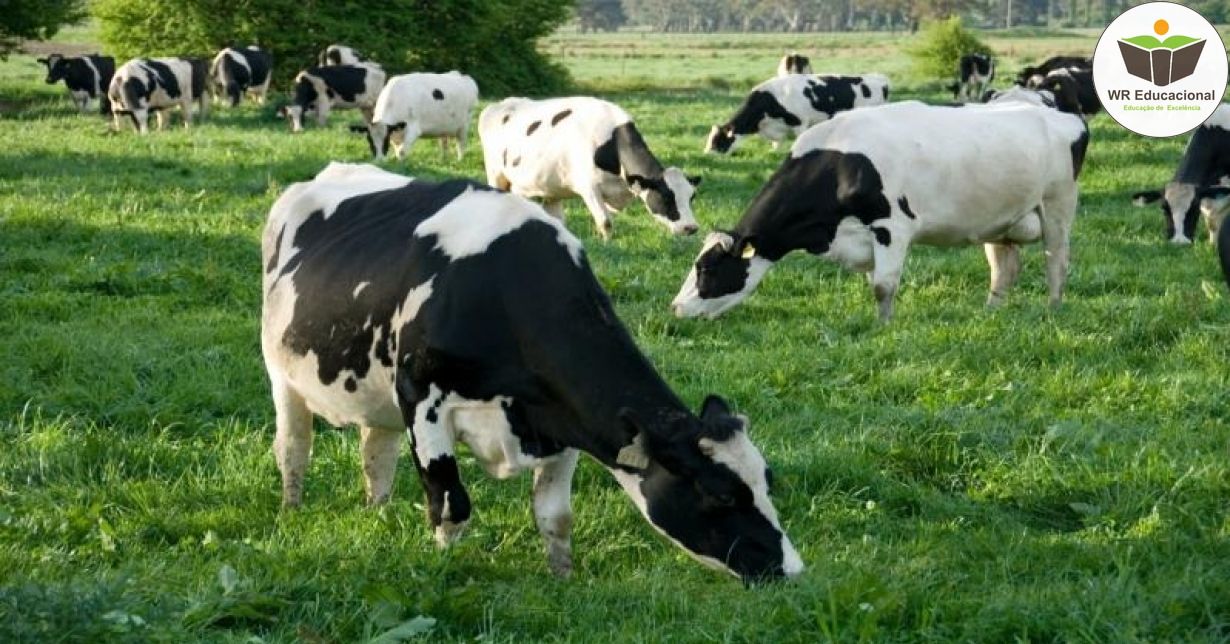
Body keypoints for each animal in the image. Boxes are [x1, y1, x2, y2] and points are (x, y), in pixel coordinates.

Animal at [263, 162, 801, 582]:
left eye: (766, 481)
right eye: (719, 496)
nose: (791, 570)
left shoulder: (563, 421)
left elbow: (554, 515)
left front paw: (562, 577)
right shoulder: (421, 397)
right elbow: (451, 504)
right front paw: (445, 567)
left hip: (376, 395)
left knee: (376, 454)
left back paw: (378, 512)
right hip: (281, 375)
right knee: (293, 447)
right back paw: (290, 510)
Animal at [479, 99, 703, 239]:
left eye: (691, 197)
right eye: (666, 197)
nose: (691, 228)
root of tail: (498, 105)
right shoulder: (589, 188)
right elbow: (605, 222)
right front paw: (608, 244)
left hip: (549, 190)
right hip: (496, 176)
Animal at [674, 95, 1087, 322]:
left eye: (707, 269)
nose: (675, 308)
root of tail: (1063, 114)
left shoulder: (892, 226)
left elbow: (883, 286)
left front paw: (882, 327)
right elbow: (874, 280)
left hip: (1057, 205)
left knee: (1057, 261)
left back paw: (1052, 309)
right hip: (998, 220)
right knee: (1005, 268)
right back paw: (991, 312)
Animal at [708, 73, 890, 154]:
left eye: (718, 141)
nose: (707, 156)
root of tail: (879, 78)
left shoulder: (800, 123)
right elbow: (776, 145)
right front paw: (774, 152)